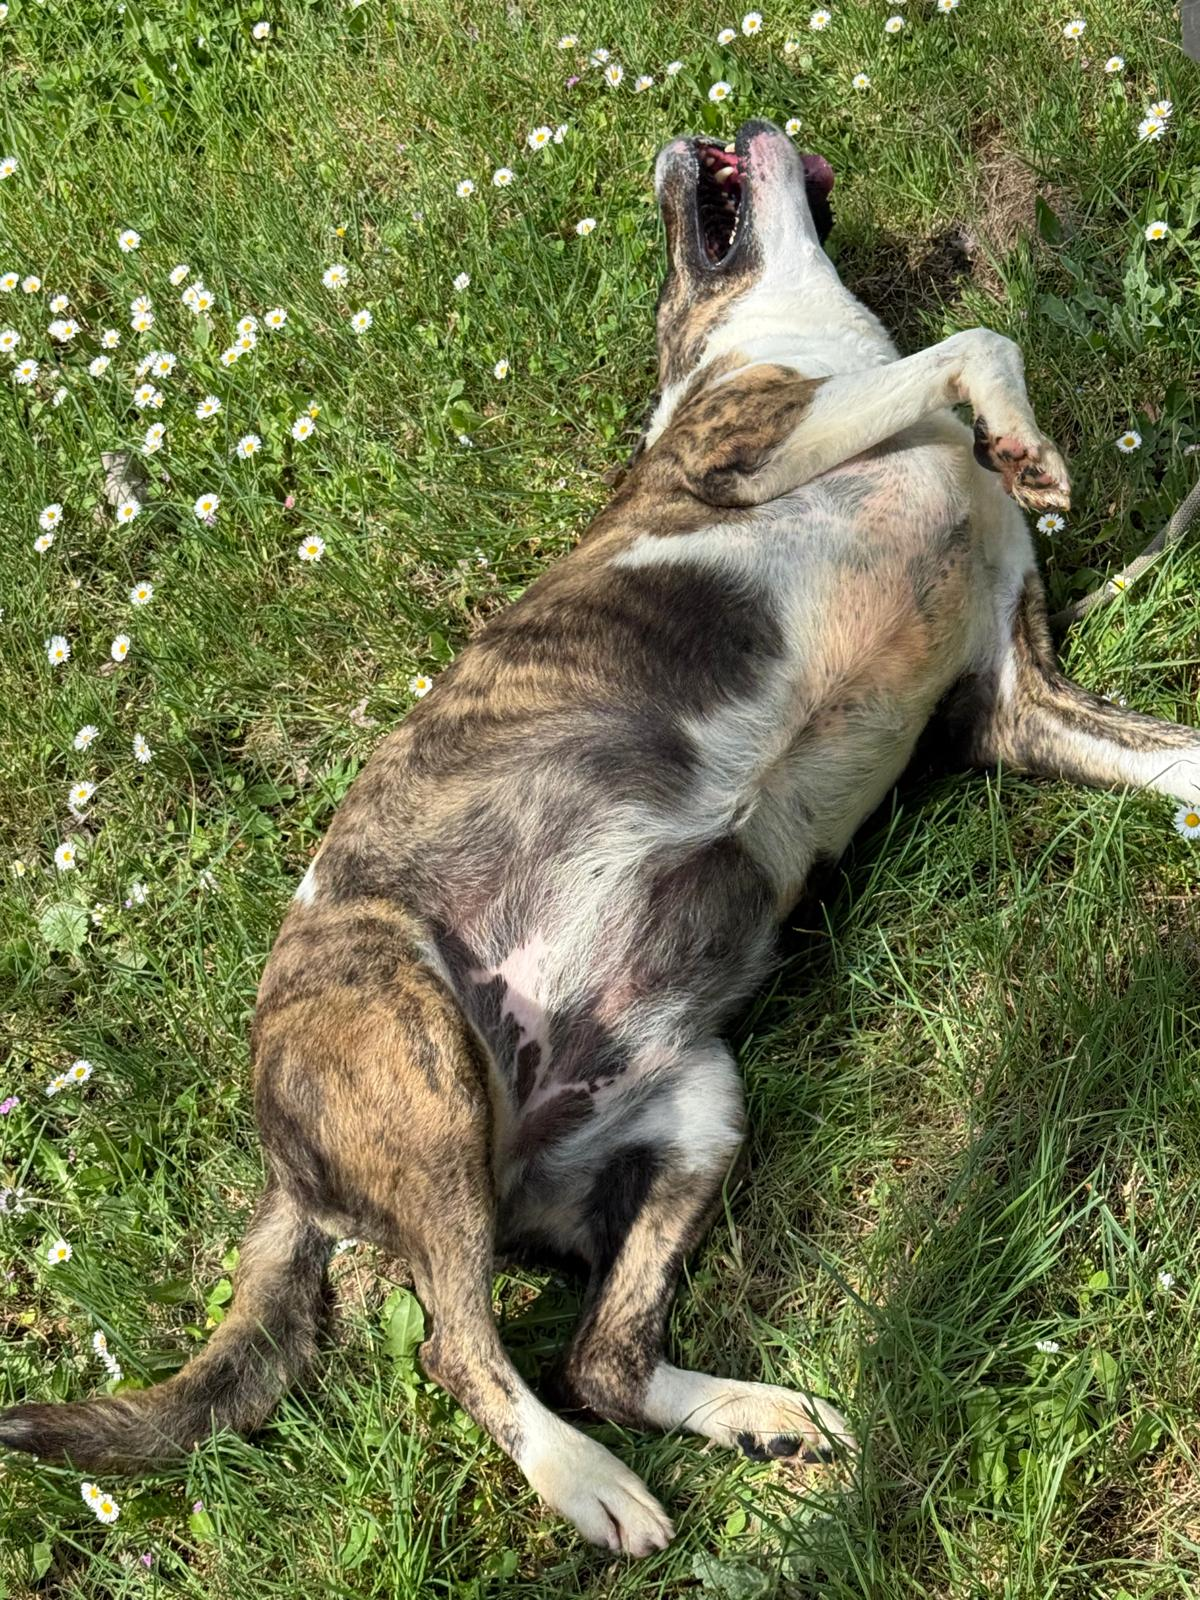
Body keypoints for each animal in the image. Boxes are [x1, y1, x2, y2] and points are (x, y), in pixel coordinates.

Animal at [4, 121, 1199, 1557]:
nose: (692, 134)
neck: (783, 330)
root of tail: (289, 1171)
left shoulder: (1011, 695)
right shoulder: (748, 449)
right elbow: (973, 338)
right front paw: (1024, 443)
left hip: (696, 1104)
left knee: (600, 1355)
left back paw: (755, 1416)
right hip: (417, 1061)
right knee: (462, 1347)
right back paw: (585, 1482)